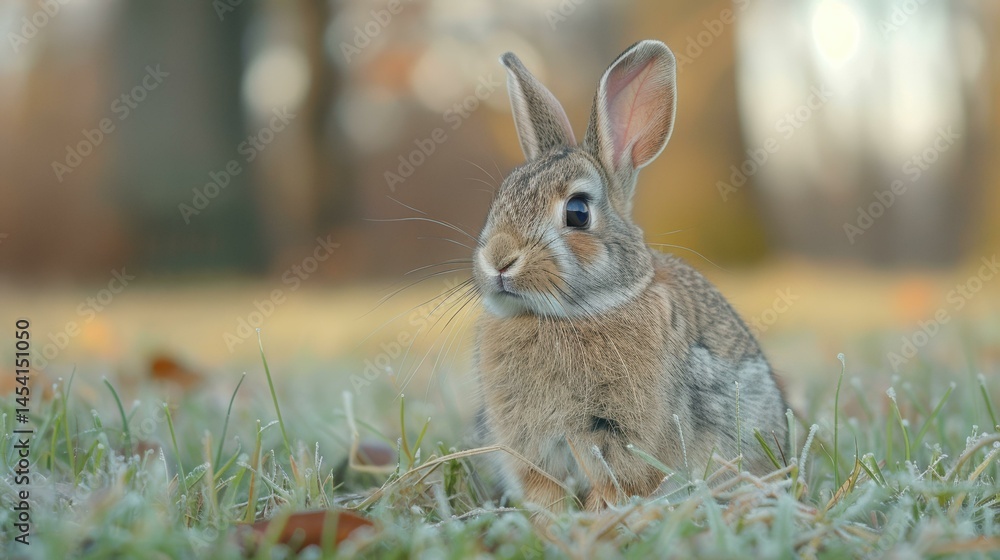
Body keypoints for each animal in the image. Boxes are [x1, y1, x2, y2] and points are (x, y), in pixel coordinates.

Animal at [472, 40, 789, 513]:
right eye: (500, 199)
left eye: (578, 212)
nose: (499, 260)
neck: (572, 315)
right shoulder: (531, 451)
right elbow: (546, 492)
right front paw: (553, 522)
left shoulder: (622, 441)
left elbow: (615, 489)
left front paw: (596, 521)